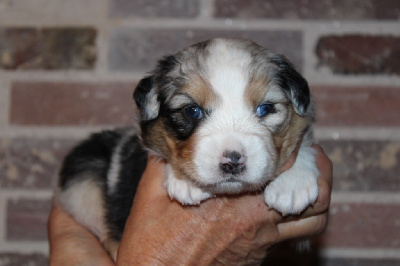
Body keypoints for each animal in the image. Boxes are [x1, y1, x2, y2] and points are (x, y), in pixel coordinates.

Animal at [55, 37, 318, 260]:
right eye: (192, 111)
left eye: (265, 108)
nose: (233, 161)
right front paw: (186, 183)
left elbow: (304, 141)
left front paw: (292, 184)